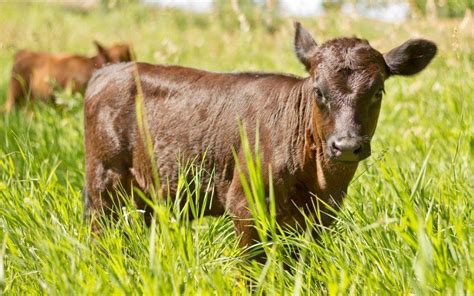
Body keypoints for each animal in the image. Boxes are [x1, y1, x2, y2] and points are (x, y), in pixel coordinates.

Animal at [82, 22, 436, 252]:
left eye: (378, 92)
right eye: (318, 91)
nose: (347, 145)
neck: (317, 178)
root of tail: (109, 70)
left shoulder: (321, 217)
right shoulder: (245, 207)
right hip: (103, 181)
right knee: (100, 233)